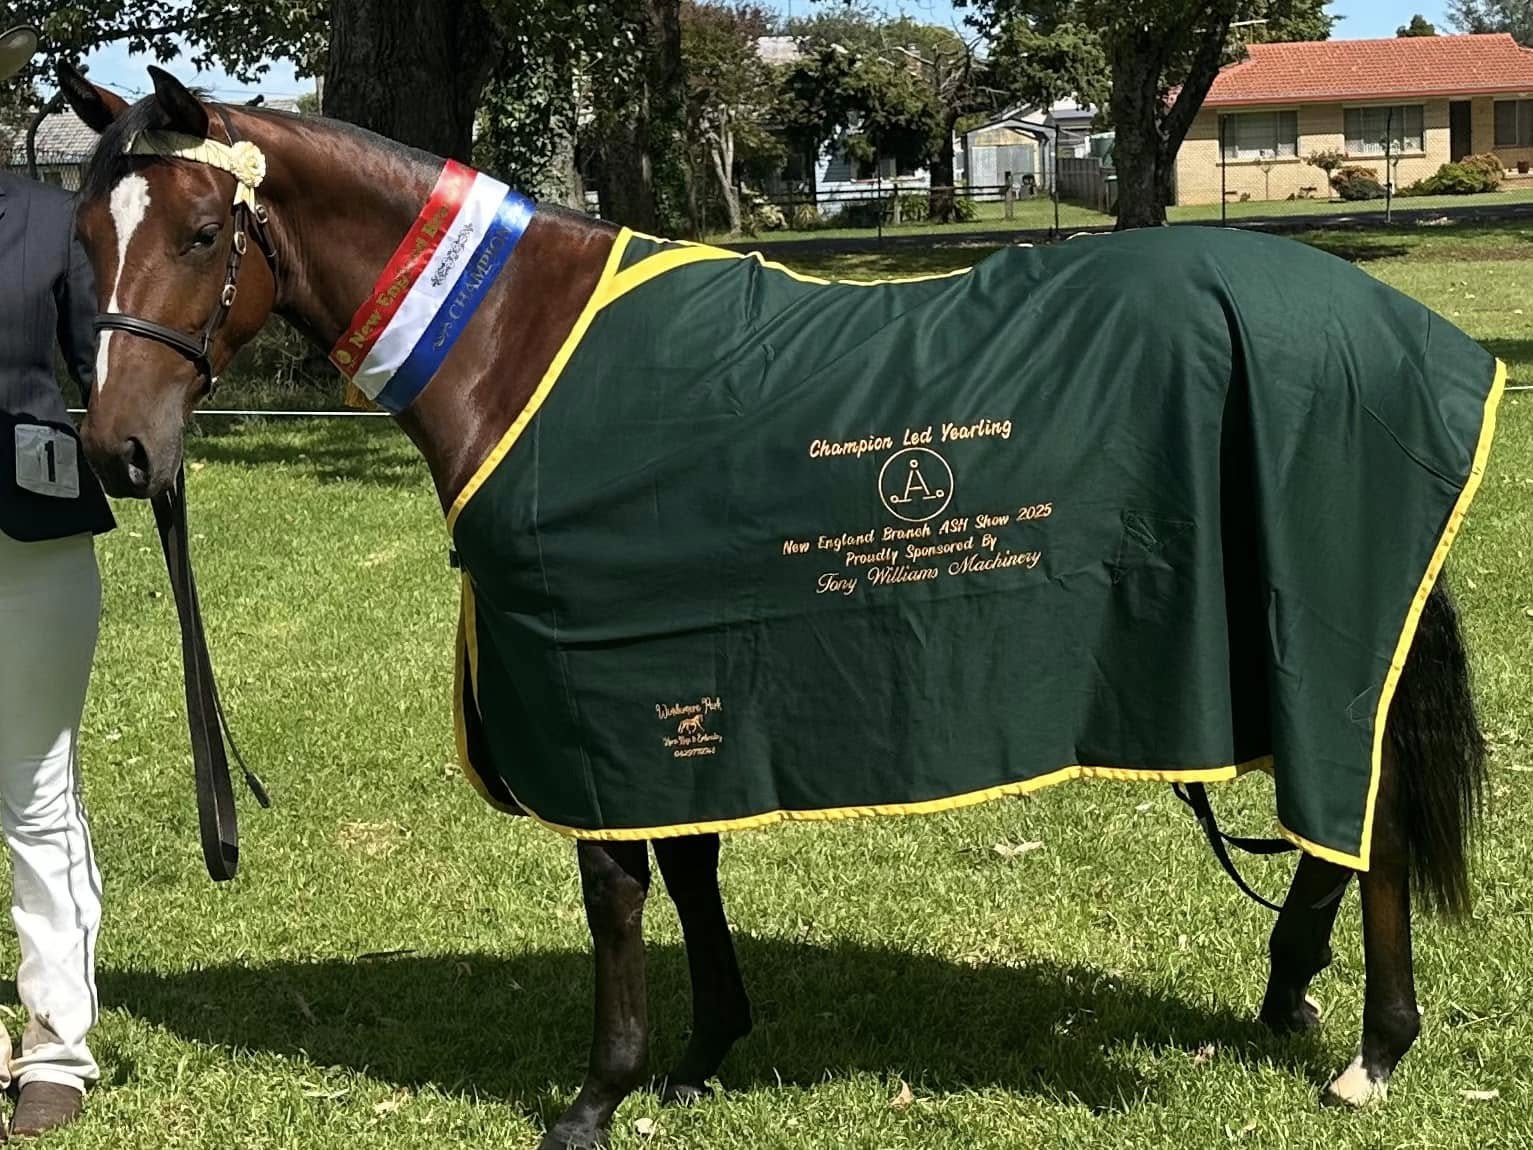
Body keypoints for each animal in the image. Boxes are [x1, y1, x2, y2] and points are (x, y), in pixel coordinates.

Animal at [57, 64, 1493, 1149]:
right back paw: (1294, 996)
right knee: (1334, 834)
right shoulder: (680, 690)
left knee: (1359, 825)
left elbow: (620, 889)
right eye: (82, 241)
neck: (517, 344)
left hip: (1327, 624)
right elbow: (692, 866)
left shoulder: (598, 691)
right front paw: (704, 1052)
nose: (119, 452)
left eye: (201, 234)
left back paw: (1374, 1049)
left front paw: (599, 1094)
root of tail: (1398, 333)